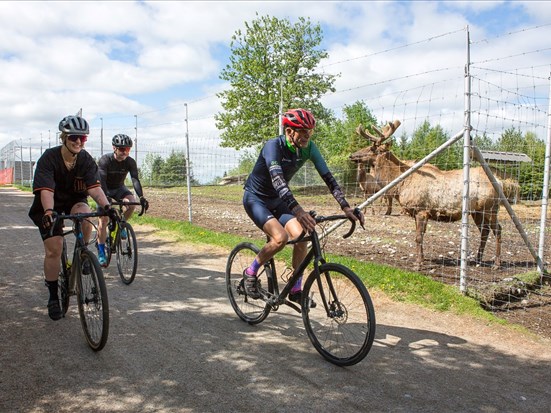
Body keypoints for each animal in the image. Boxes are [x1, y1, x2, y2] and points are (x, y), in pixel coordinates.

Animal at [352, 119, 506, 270]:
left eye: (372, 149)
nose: (352, 155)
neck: (400, 185)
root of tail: (499, 182)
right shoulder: (416, 211)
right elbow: (418, 236)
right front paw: (421, 259)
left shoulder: (421, 210)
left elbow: (419, 237)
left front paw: (419, 264)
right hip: (477, 211)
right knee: (485, 231)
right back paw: (478, 259)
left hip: (490, 208)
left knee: (497, 229)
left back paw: (497, 263)